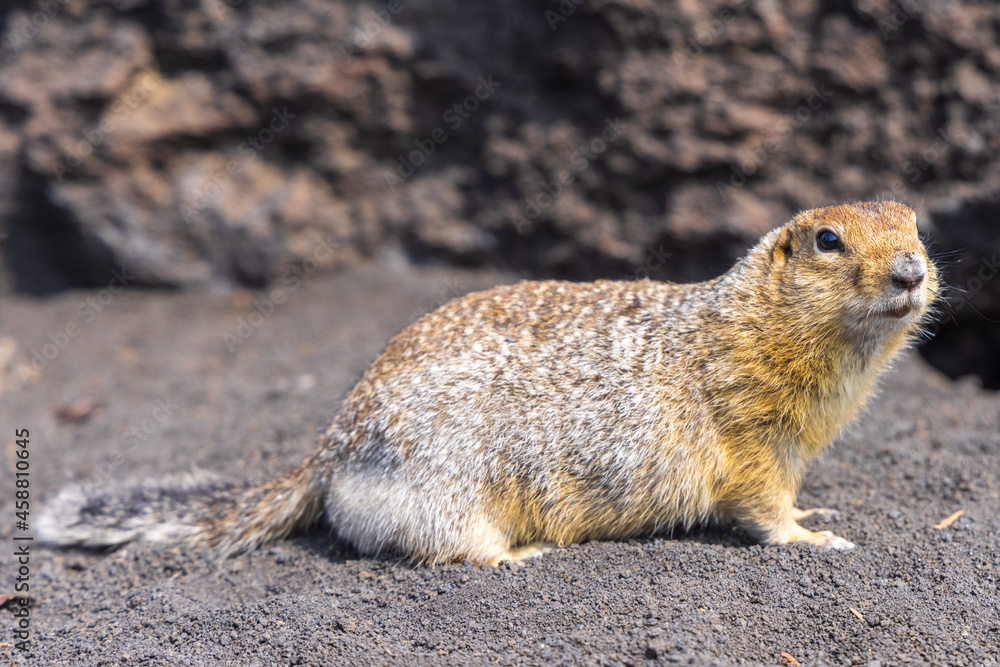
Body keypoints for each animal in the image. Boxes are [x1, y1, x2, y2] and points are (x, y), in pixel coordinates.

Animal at [39, 200, 940, 564]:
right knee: (441, 543)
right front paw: (809, 538)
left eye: (916, 221)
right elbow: (761, 506)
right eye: (828, 239)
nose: (912, 270)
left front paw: (817, 514)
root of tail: (330, 447)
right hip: (444, 485)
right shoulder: (750, 433)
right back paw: (517, 554)